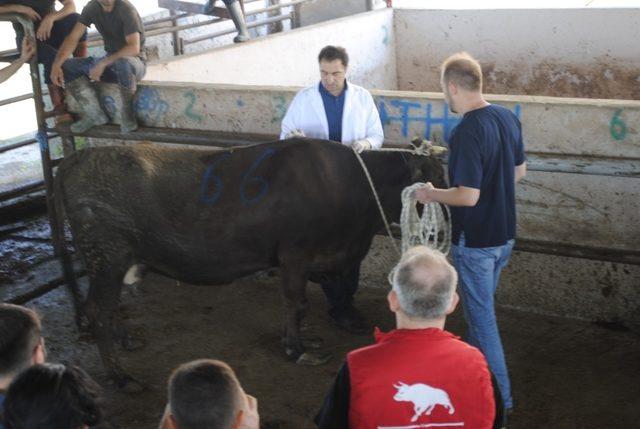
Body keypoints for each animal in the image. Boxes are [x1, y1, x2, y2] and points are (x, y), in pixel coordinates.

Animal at [56, 137, 444, 388]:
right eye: (436, 178)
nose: (443, 229)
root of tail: (79, 157)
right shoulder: (294, 255)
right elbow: (296, 302)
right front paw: (296, 349)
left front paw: (304, 340)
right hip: (105, 257)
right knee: (98, 311)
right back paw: (120, 376)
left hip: (112, 262)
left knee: (106, 308)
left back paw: (126, 342)